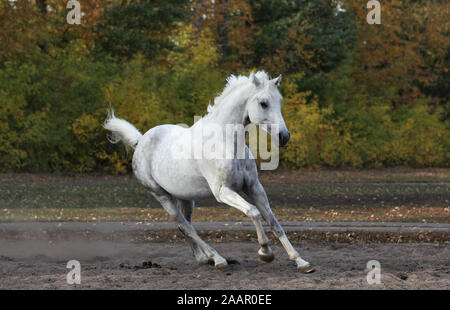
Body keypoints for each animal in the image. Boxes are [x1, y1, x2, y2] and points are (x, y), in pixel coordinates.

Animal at [105, 71, 314, 272]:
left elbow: (274, 222)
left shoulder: (254, 188)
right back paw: (218, 259)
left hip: (186, 198)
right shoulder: (223, 192)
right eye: (263, 103)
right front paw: (265, 253)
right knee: (185, 226)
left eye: (280, 101)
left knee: (186, 226)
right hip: (161, 196)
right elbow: (253, 212)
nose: (284, 136)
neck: (226, 141)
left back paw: (203, 258)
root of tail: (140, 141)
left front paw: (301, 262)